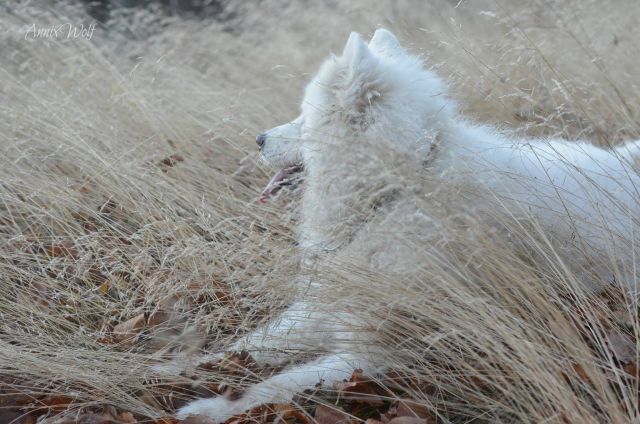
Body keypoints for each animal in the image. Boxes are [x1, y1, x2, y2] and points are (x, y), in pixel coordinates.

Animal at [178, 29, 640, 420]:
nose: (258, 139)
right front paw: (175, 367)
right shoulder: (327, 307)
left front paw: (205, 409)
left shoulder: (377, 352)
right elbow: (247, 345)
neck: (397, 189)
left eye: (303, 117)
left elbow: (272, 386)